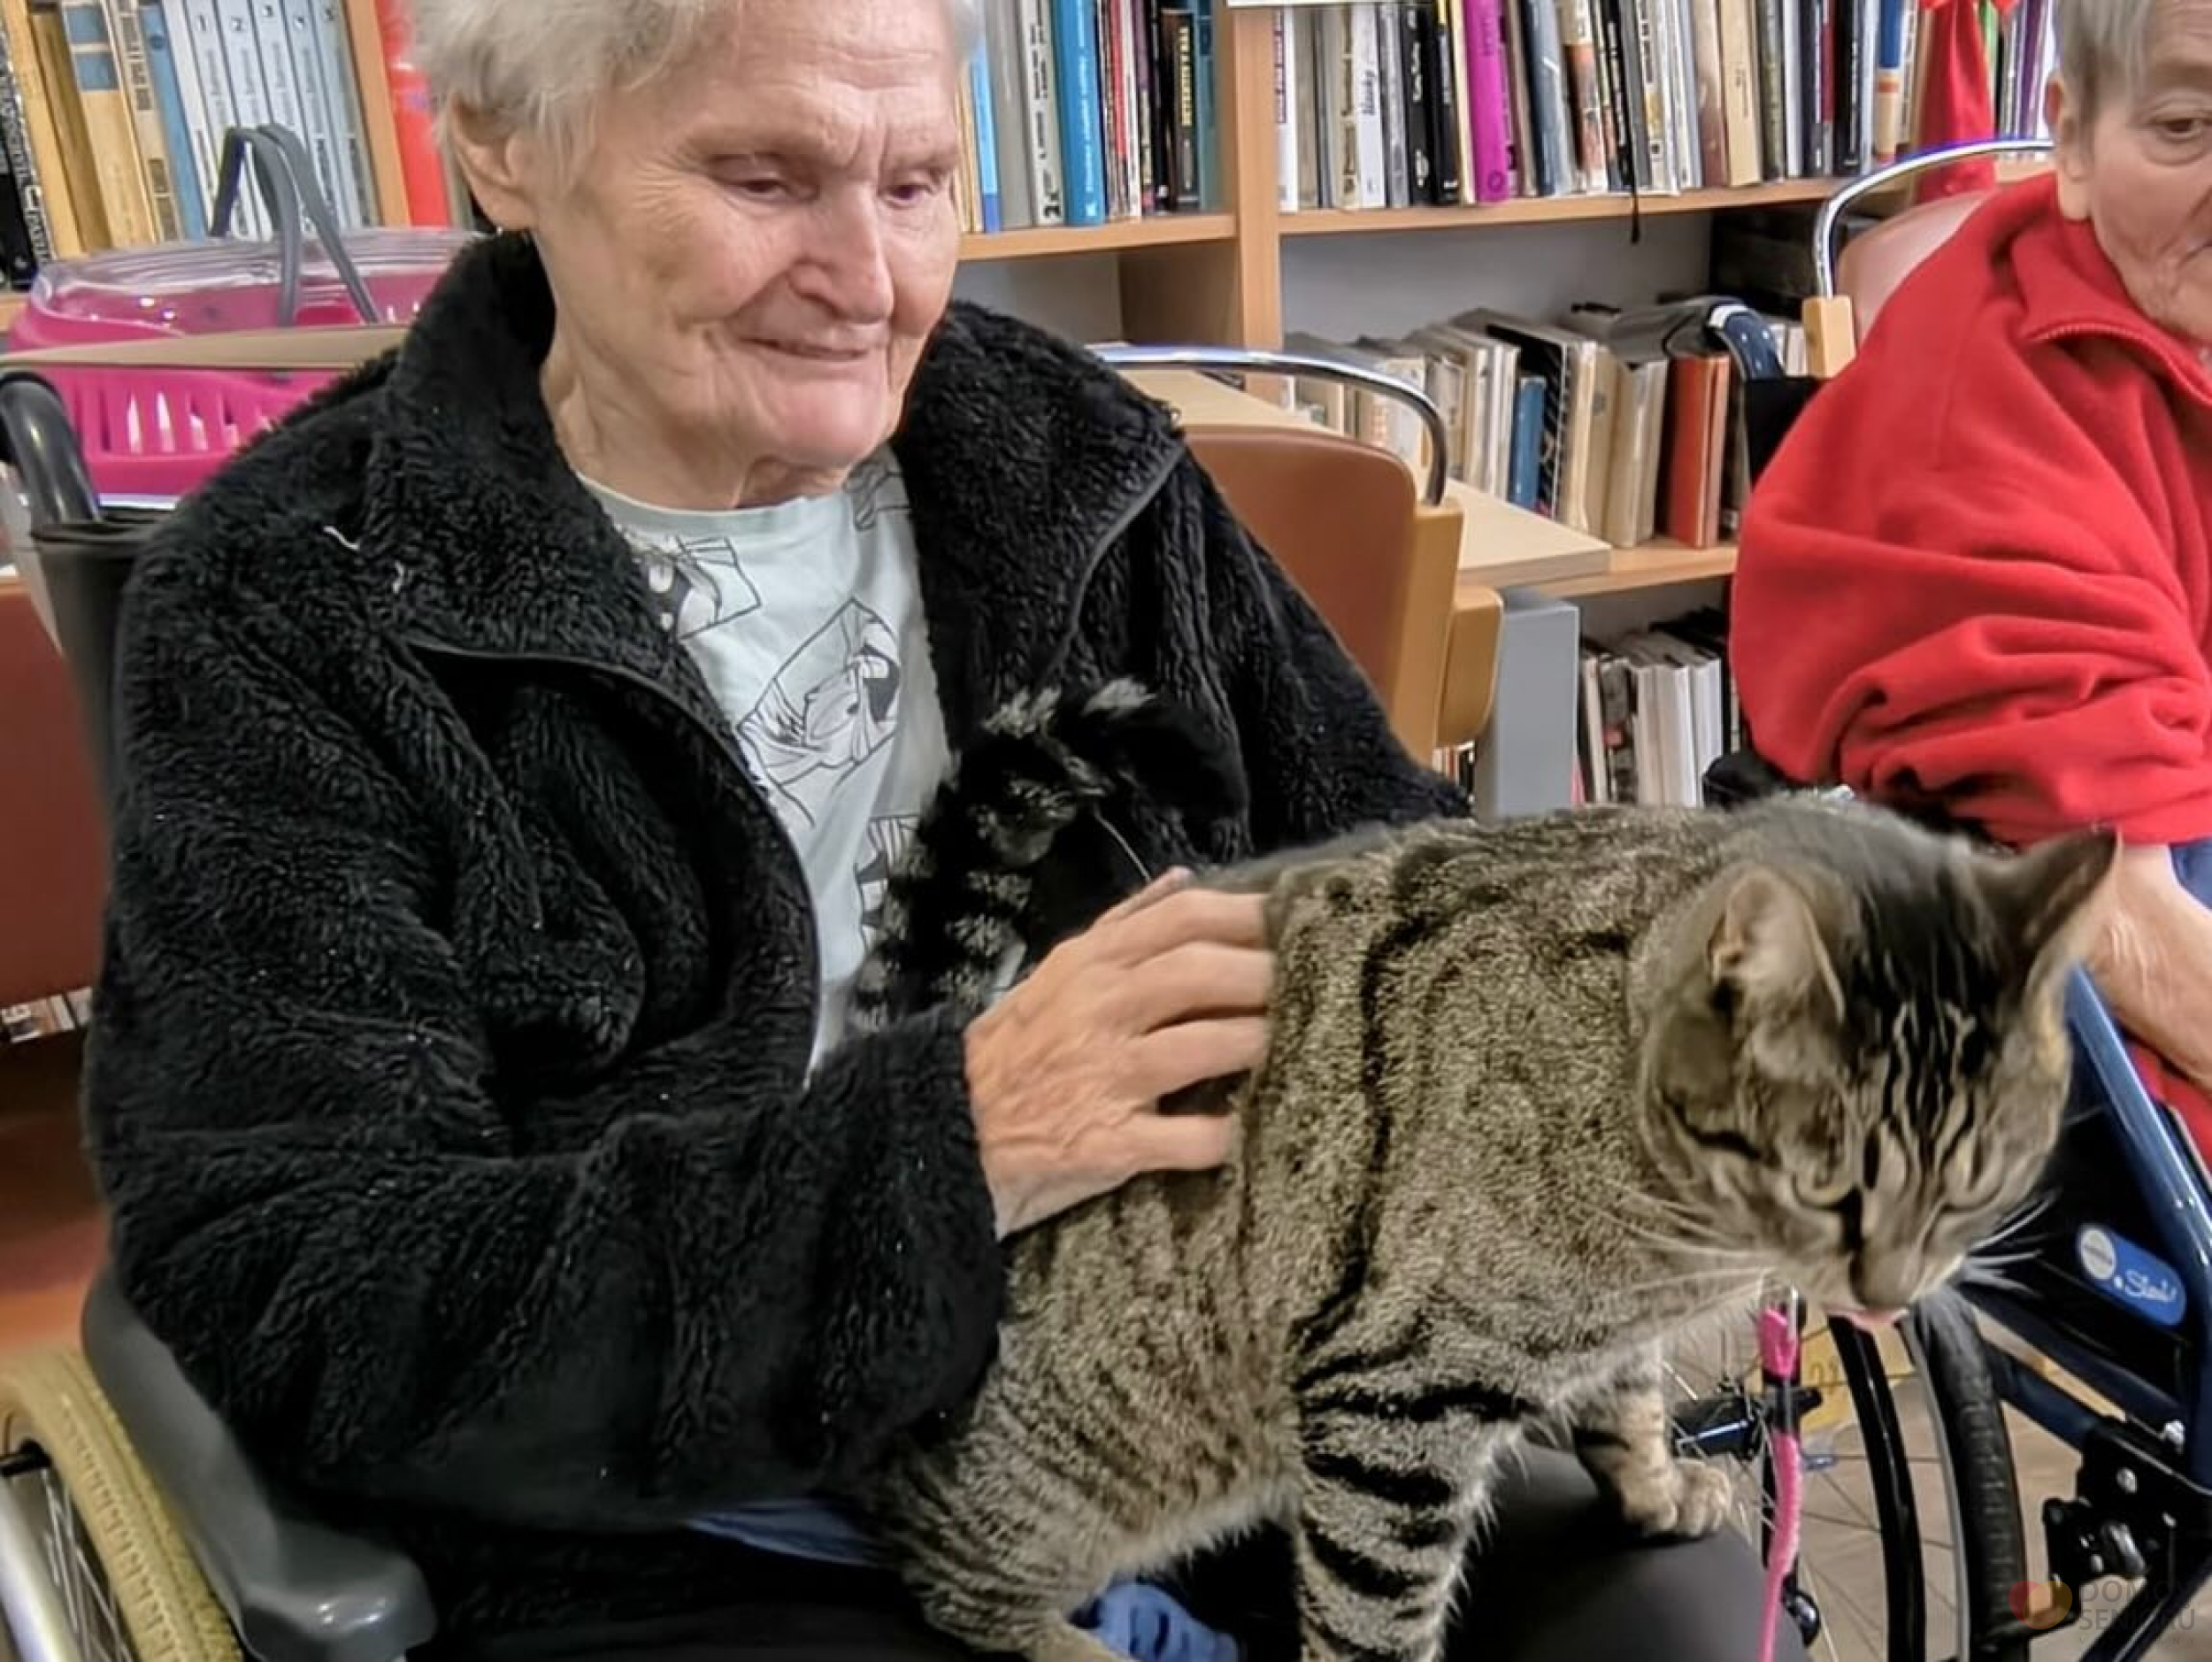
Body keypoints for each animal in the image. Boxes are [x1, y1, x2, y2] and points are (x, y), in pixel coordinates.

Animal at [853, 681, 2115, 1662]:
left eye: (1975, 1188)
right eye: (1828, 1188)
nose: (1891, 1297)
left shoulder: (1613, 1332)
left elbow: (1631, 1397)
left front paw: (1652, 1485)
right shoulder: (1394, 1401)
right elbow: (1376, 1619)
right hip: (1061, 1480)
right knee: (943, 1577)